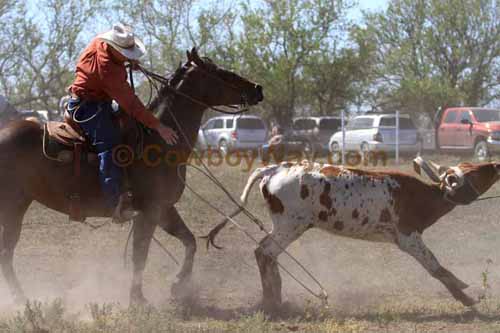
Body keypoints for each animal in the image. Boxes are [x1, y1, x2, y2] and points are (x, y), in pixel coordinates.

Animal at [0, 48, 264, 304]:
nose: (257, 89)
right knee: (6, 253)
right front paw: (138, 298)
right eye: (221, 73)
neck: (157, 140)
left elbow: (189, 241)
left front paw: (178, 285)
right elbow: (141, 255)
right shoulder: (148, 211)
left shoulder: (163, 208)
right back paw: (22, 300)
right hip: (12, 208)